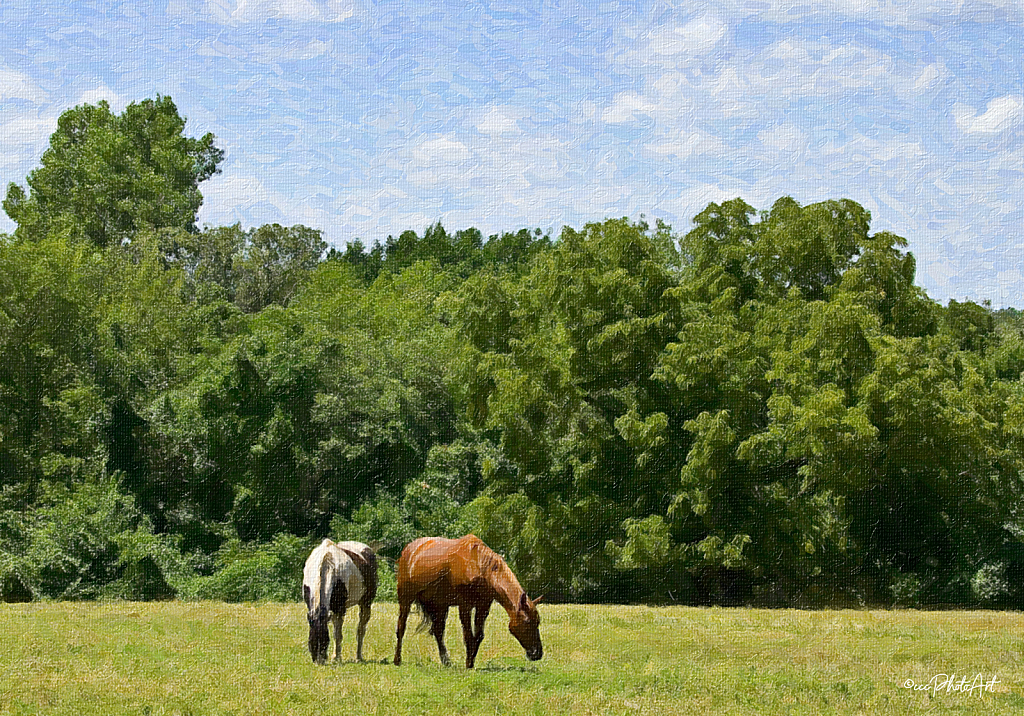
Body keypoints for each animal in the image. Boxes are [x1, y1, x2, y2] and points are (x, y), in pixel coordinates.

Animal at [393, 536, 544, 667]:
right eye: (527, 622)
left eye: (537, 622)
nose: (537, 653)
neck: (479, 565)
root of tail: (408, 550)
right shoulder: (465, 606)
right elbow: (468, 635)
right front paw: (468, 664)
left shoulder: (483, 607)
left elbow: (478, 636)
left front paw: (470, 662)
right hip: (406, 600)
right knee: (401, 627)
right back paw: (397, 660)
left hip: (440, 605)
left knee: (438, 631)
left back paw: (446, 661)